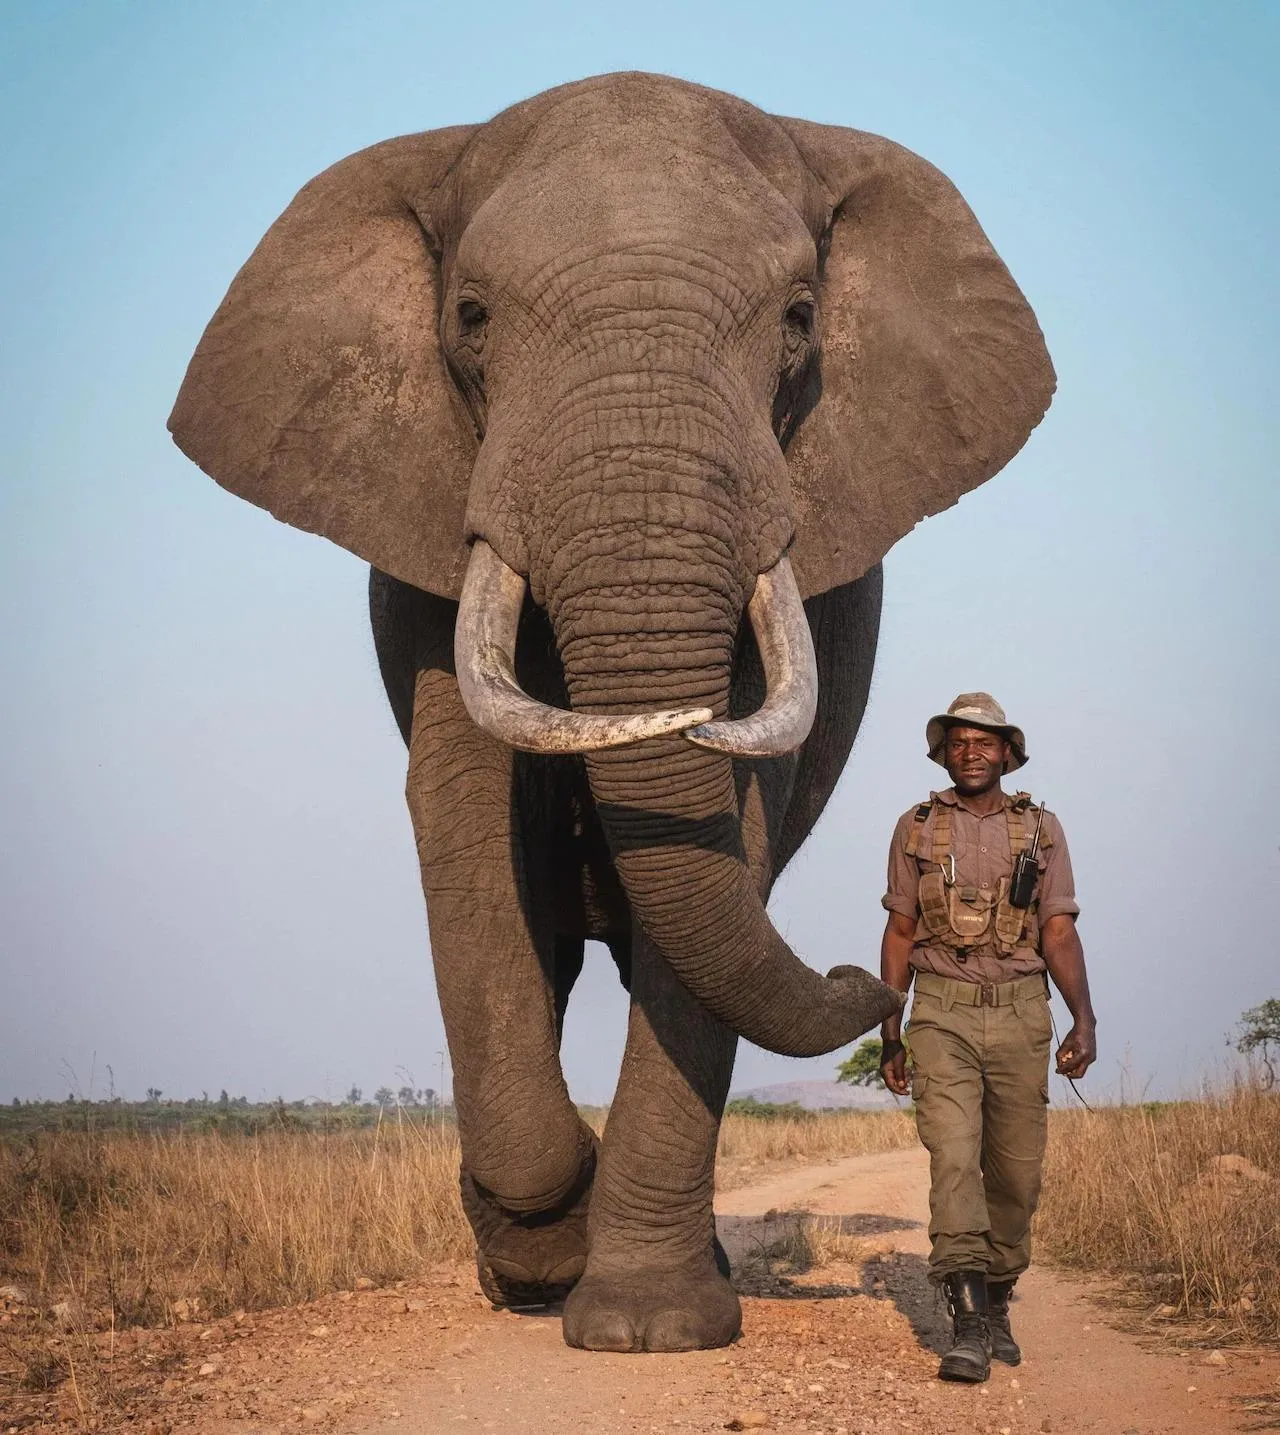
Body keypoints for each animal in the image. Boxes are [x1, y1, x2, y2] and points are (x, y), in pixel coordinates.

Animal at [169, 72, 1053, 1353]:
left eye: (799, 319)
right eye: (471, 317)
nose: (866, 976)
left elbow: (729, 821)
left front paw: (648, 1326)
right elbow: (463, 814)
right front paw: (544, 1256)